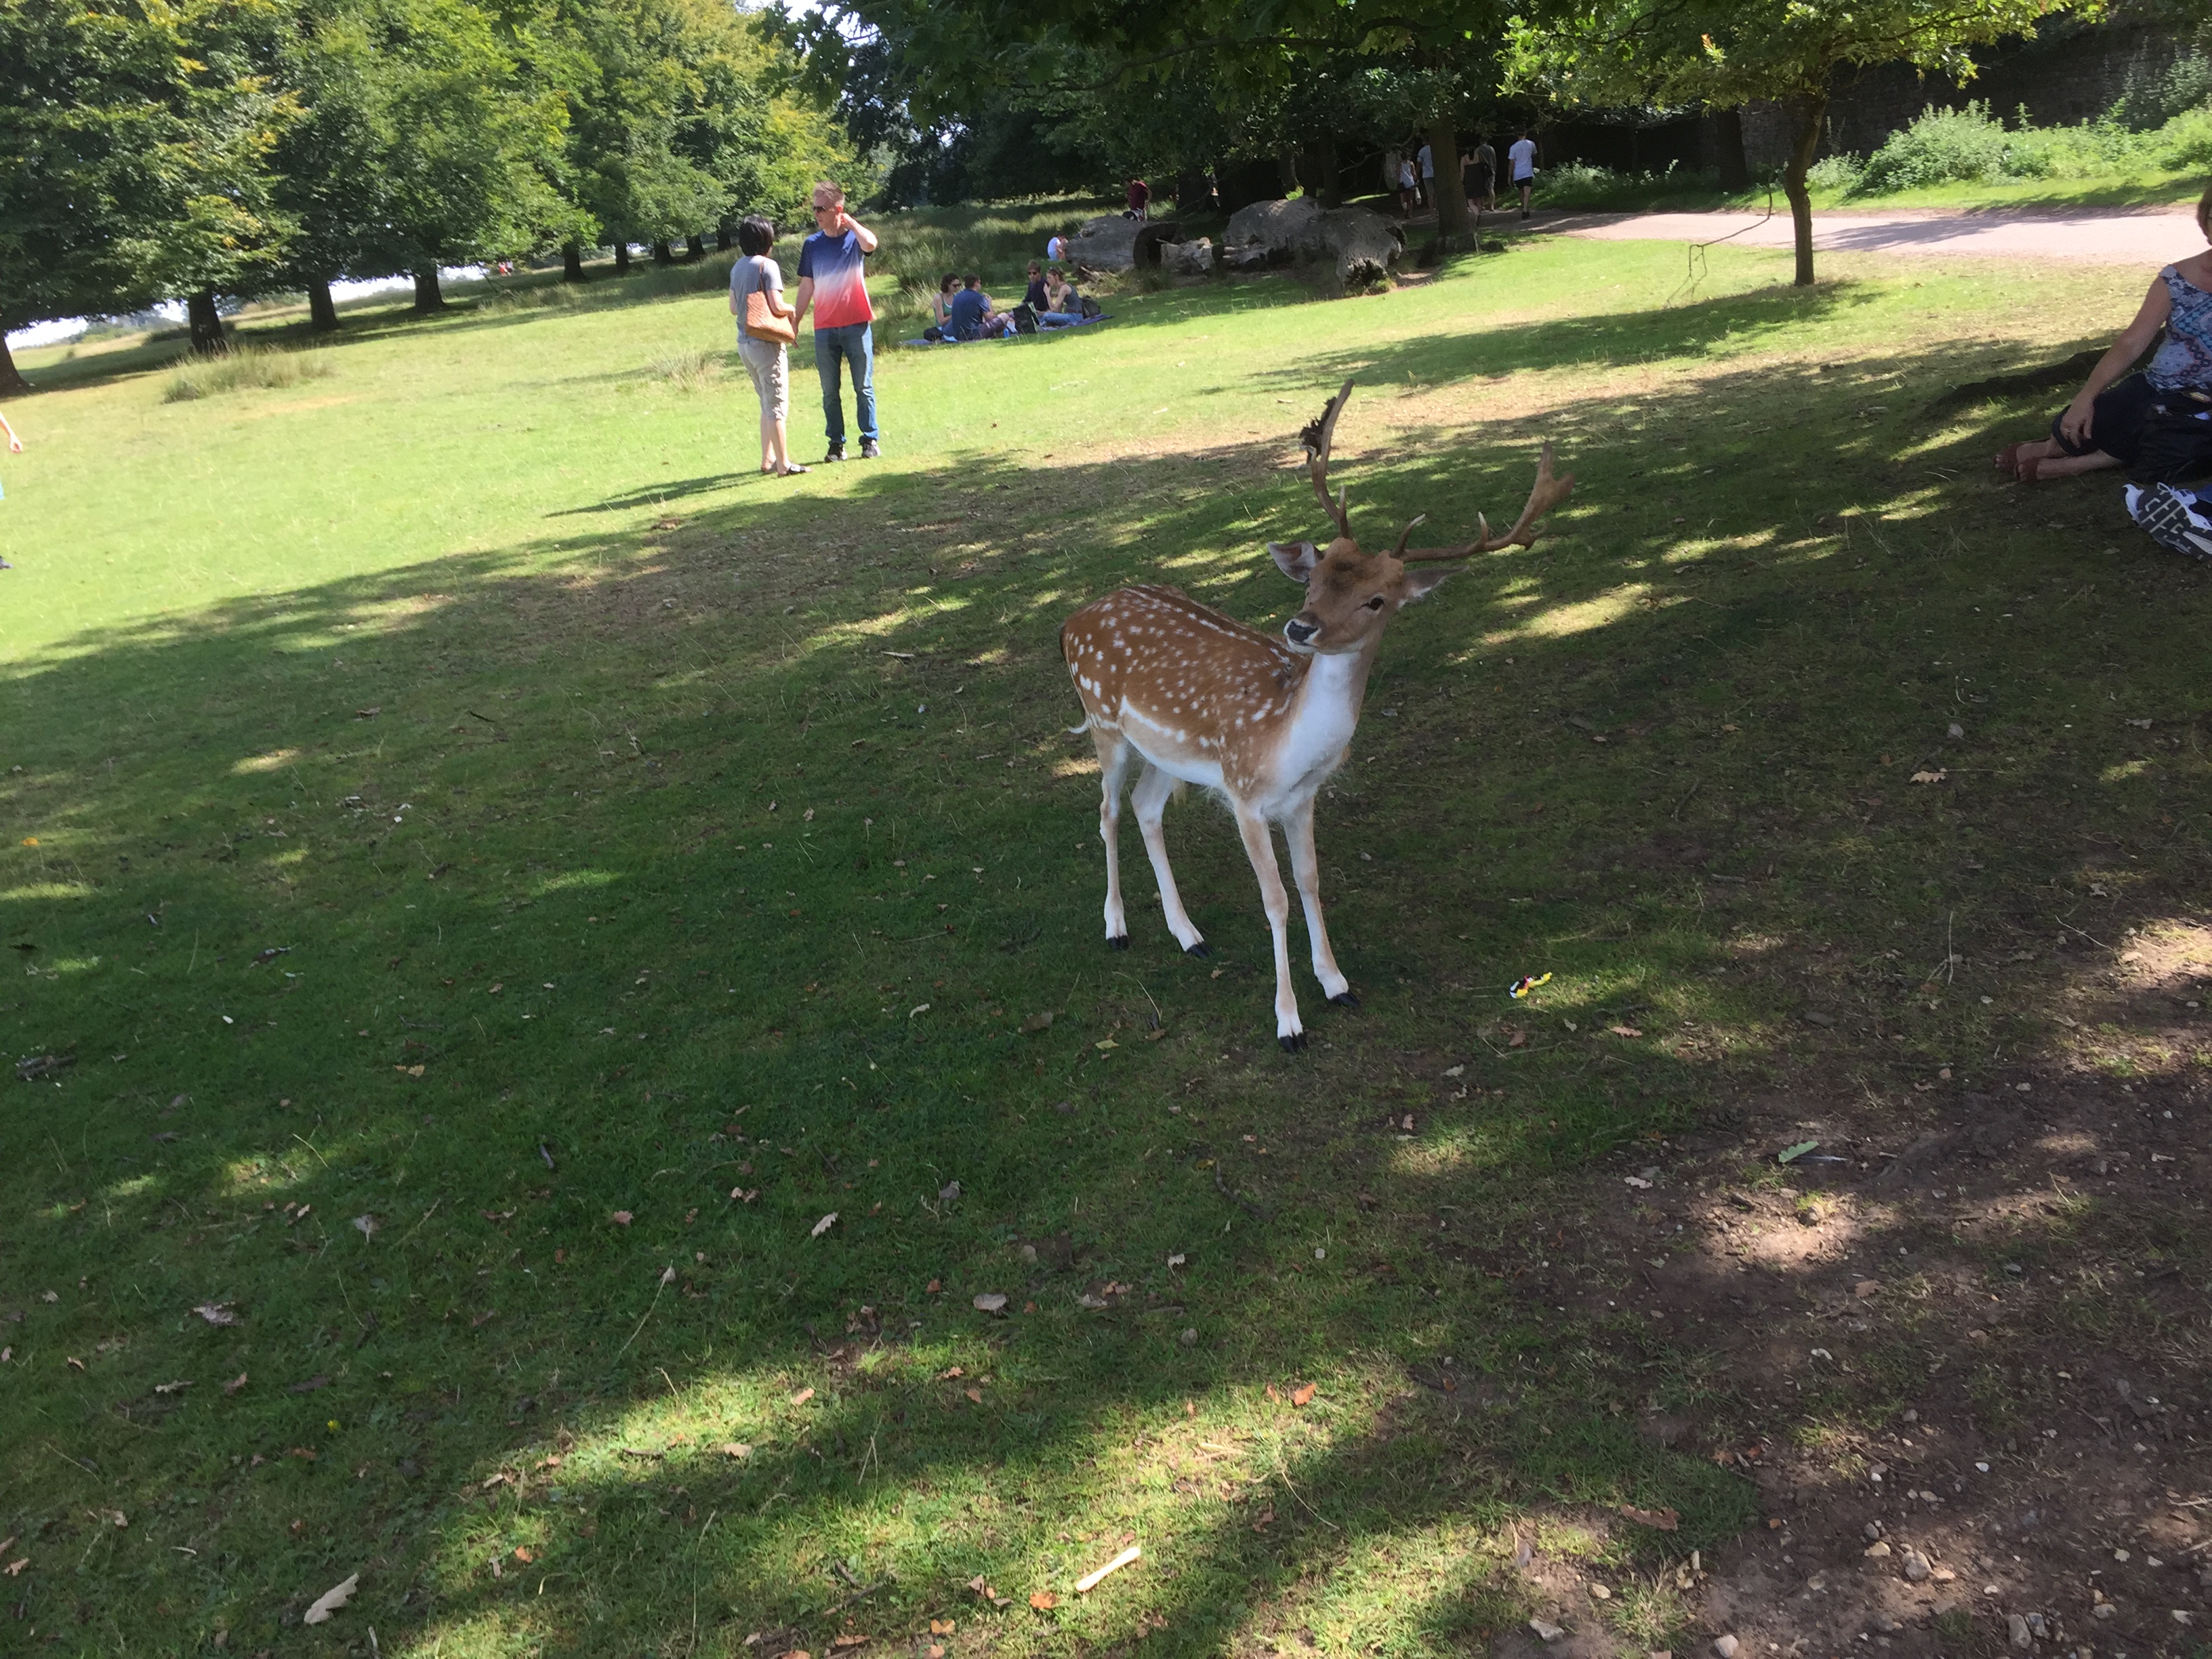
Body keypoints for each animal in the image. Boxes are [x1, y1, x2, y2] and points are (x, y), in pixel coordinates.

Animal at [1060, 379, 1574, 1050]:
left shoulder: (1301, 798)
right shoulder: (1245, 794)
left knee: (1147, 809)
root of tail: (1071, 621)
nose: (1300, 628)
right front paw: (1288, 1022)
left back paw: (1190, 935)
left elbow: (1309, 880)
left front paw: (1336, 983)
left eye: (1376, 600)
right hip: (1103, 720)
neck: (1288, 742)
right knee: (1108, 811)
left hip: (1168, 752)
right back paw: (1117, 926)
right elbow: (1275, 898)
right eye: (1316, 577)